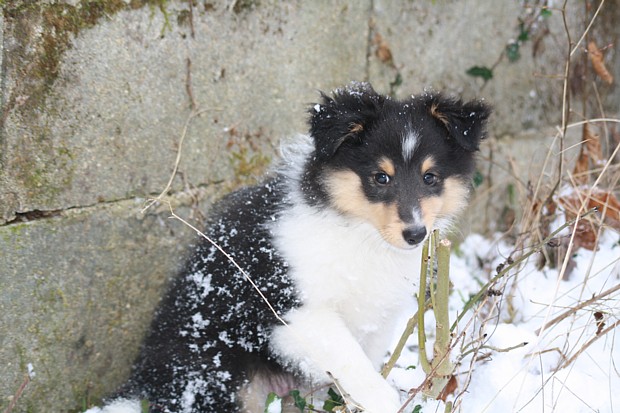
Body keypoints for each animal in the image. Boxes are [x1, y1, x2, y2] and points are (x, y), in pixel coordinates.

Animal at [91, 82, 490, 413]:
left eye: (430, 177)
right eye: (380, 177)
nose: (415, 234)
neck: (360, 233)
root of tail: (142, 381)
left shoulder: (377, 318)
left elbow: (365, 357)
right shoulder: (296, 311)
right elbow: (349, 358)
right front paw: (383, 401)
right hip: (218, 380)